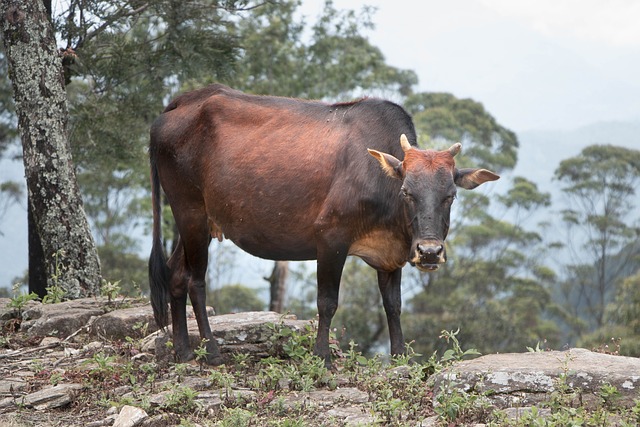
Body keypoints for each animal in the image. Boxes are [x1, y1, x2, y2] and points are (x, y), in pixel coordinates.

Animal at [148, 84, 498, 368]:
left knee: (176, 274)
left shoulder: (391, 254)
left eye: (450, 195)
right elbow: (327, 302)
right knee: (196, 281)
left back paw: (183, 351)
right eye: (406, 192)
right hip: (190, 211)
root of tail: (183, 102)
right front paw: (323, 358)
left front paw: (400, 358)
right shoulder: (330, 239)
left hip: (197, 221)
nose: (429, 252)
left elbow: (393, 306)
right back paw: (212, 352)